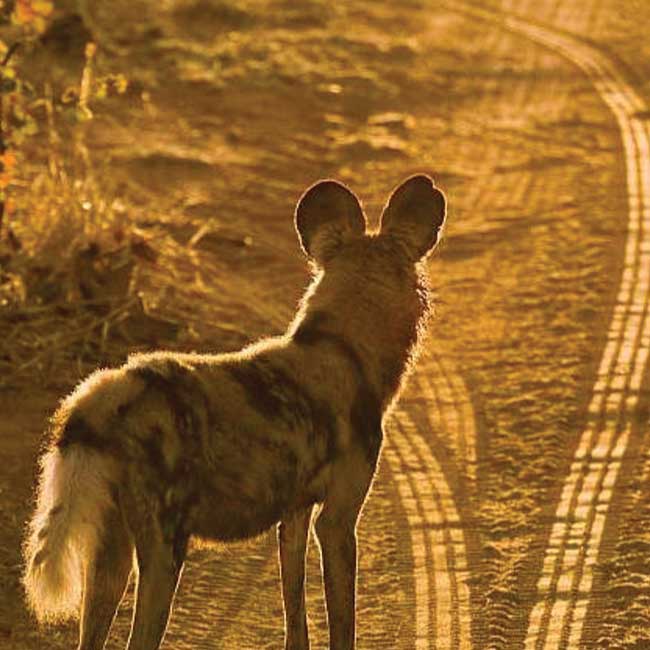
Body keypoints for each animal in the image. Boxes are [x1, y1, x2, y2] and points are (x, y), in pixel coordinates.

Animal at [21, 175, 446, 644]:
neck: (343, 346)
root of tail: (107, 392)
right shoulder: (337, 520)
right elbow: (342, 626)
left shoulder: (294, 515)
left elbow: (295, 612)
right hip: (165, 549)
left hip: (110, 555)